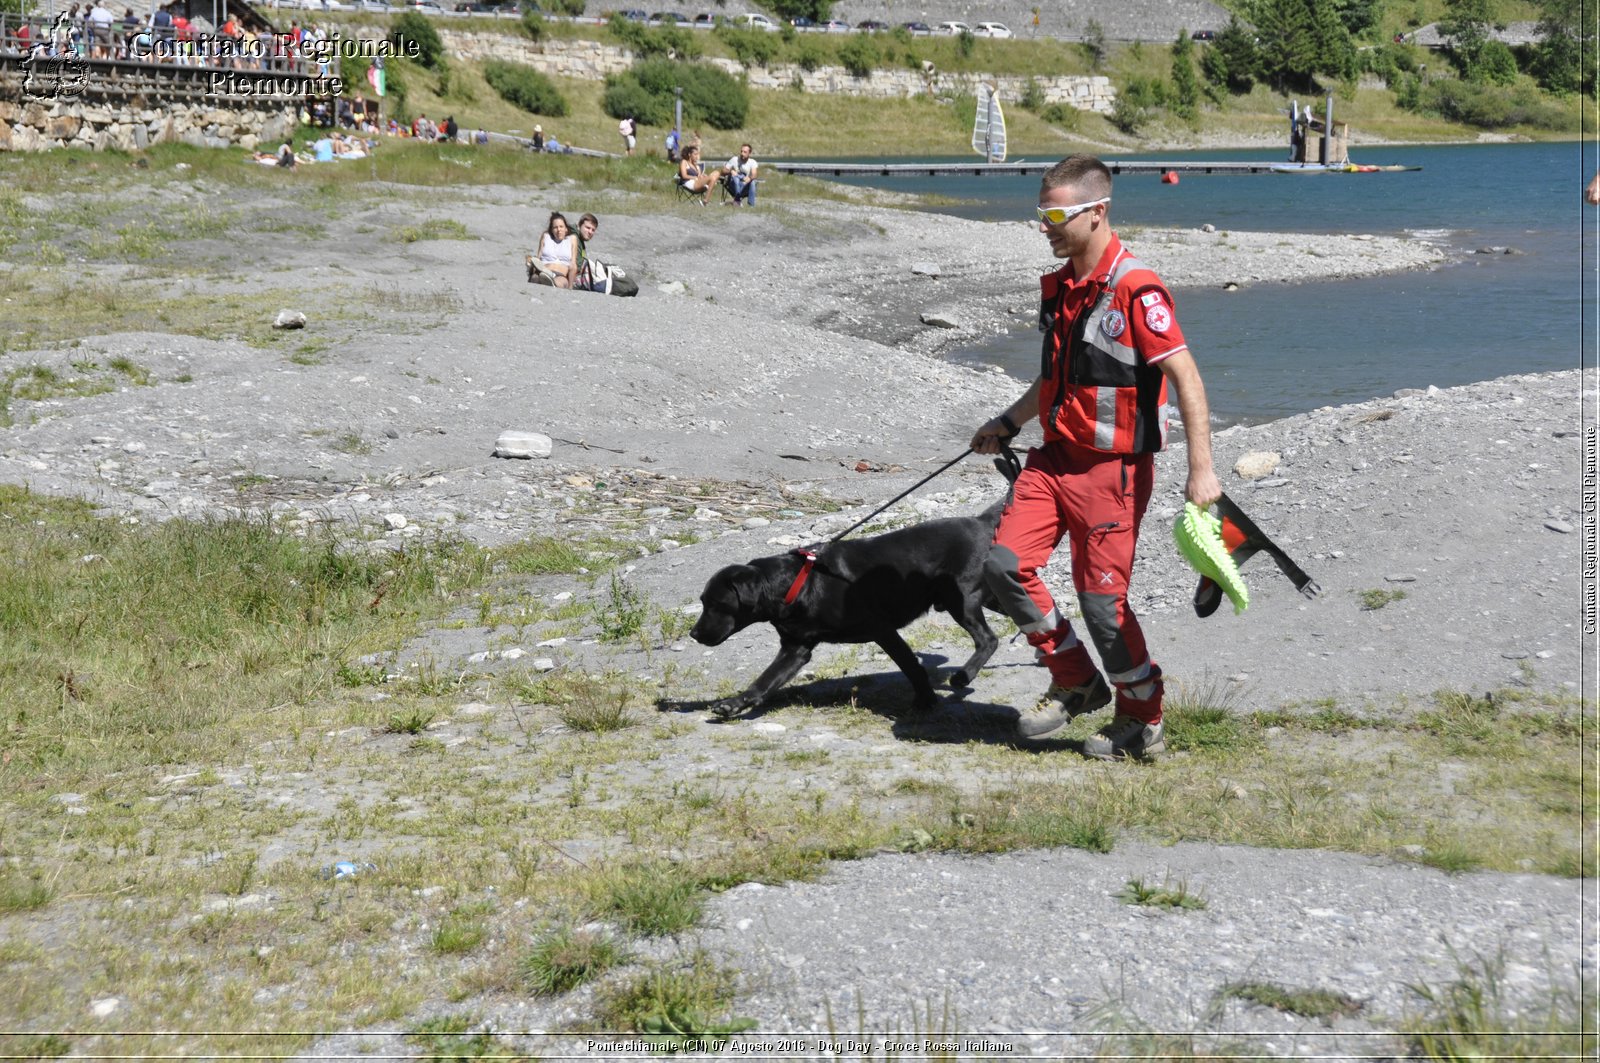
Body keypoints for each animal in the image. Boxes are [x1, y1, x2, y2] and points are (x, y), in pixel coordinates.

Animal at [691, 489, 1011, 714]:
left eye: (716, 604)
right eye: (703, 601)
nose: (693, 634)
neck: (800, 584)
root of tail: (981, 522)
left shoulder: (883, 630)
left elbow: (911, 666)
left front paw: (925, 701)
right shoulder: (795, 649)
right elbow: (765, 680)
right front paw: (735, 704)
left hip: (961, 600)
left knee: (988, 639)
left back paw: (963, 676)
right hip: (985, 597)